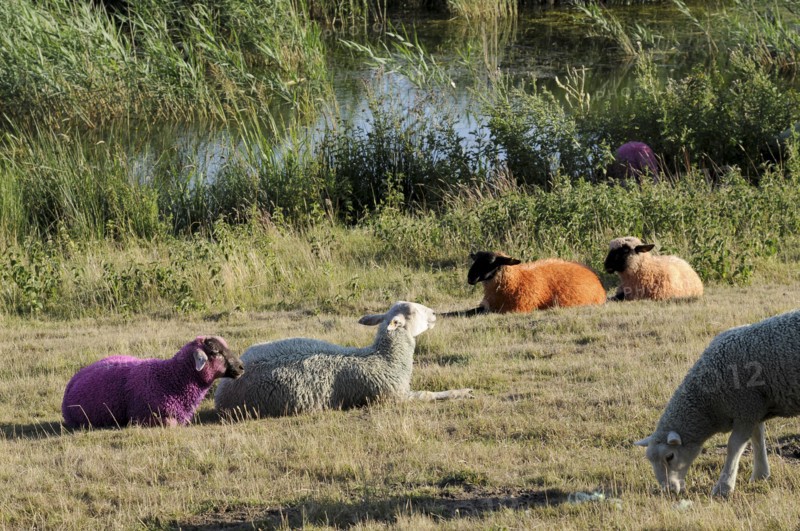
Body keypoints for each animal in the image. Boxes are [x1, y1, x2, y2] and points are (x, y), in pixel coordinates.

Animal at [62, 336, 244, 428]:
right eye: (215, 352)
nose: (242, 367)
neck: (171, 377)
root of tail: (76, 377)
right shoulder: (145, 417)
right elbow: (171, 424)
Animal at [214, 301, 473, 418]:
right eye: (414, 311)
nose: (435, 314)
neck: (384, 357)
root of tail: (221, 389)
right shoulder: (394, 396)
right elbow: (429, 395)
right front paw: (462, 392)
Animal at [455, 251, 606, 315]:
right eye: (476, 260)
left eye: (491, 262)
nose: (470, 278)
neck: (517, 279)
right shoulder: (487, 306)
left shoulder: (516, 309)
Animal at [635, 309, 800, 497]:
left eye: (670, 456)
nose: (668, 490)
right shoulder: (753, 408)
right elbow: (757, 439)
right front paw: (760, 475)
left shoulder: (745, 408)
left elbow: (734, 446)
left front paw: (724, 487)